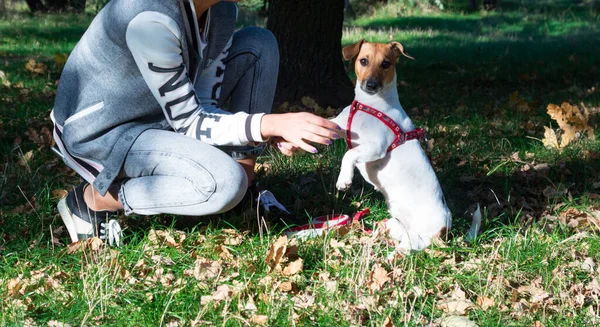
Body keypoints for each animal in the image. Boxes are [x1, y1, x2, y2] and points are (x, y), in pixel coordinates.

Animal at [330, 40, 452, 251]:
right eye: (363, 61)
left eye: (386, 64)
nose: (371, 85)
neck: (370, 104)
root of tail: (446, 228)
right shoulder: (339, 126)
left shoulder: (376, 146)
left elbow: (350, 154)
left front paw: (344, 179)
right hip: (393, 225)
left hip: (419, 238)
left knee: (408, 249)